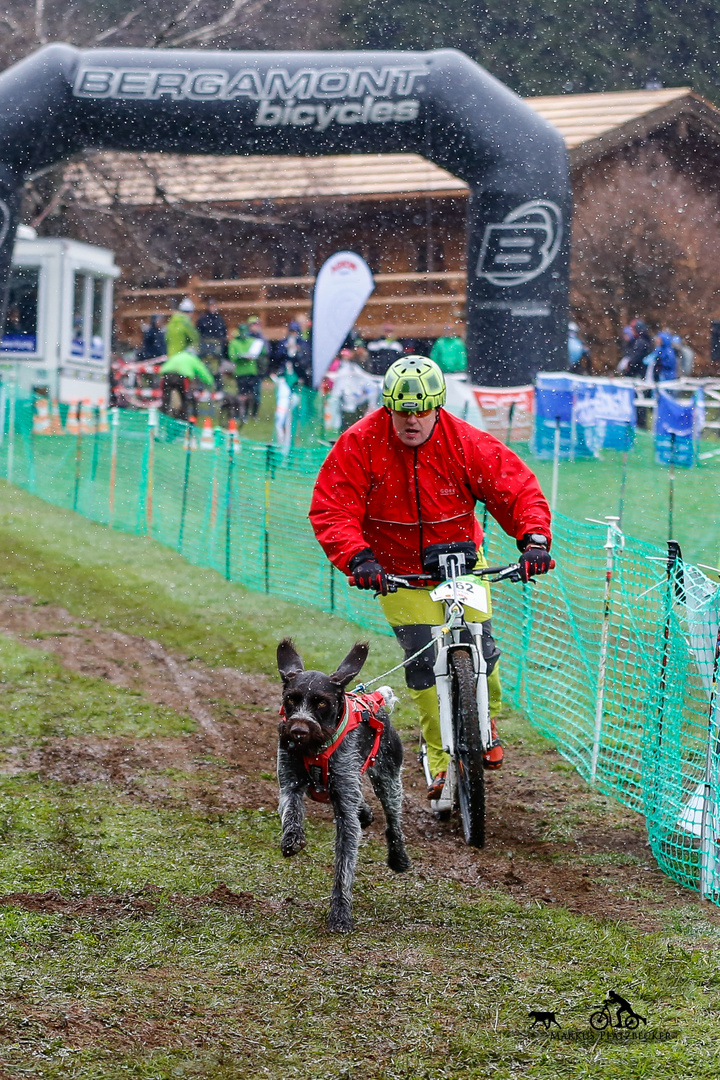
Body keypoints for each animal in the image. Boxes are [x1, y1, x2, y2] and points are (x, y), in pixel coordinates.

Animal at [278, 635, 410, 933]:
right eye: (290, 698)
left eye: (322, 703)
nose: (298, 730)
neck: (315, 748)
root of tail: (374, 700)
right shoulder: (290, 781)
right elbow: (291, 810)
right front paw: (293, 838)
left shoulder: (346, 813)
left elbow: (343, 868)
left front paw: (340, 914)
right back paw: (366, 813)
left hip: (387, 779)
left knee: (393, 821)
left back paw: (398, 857)